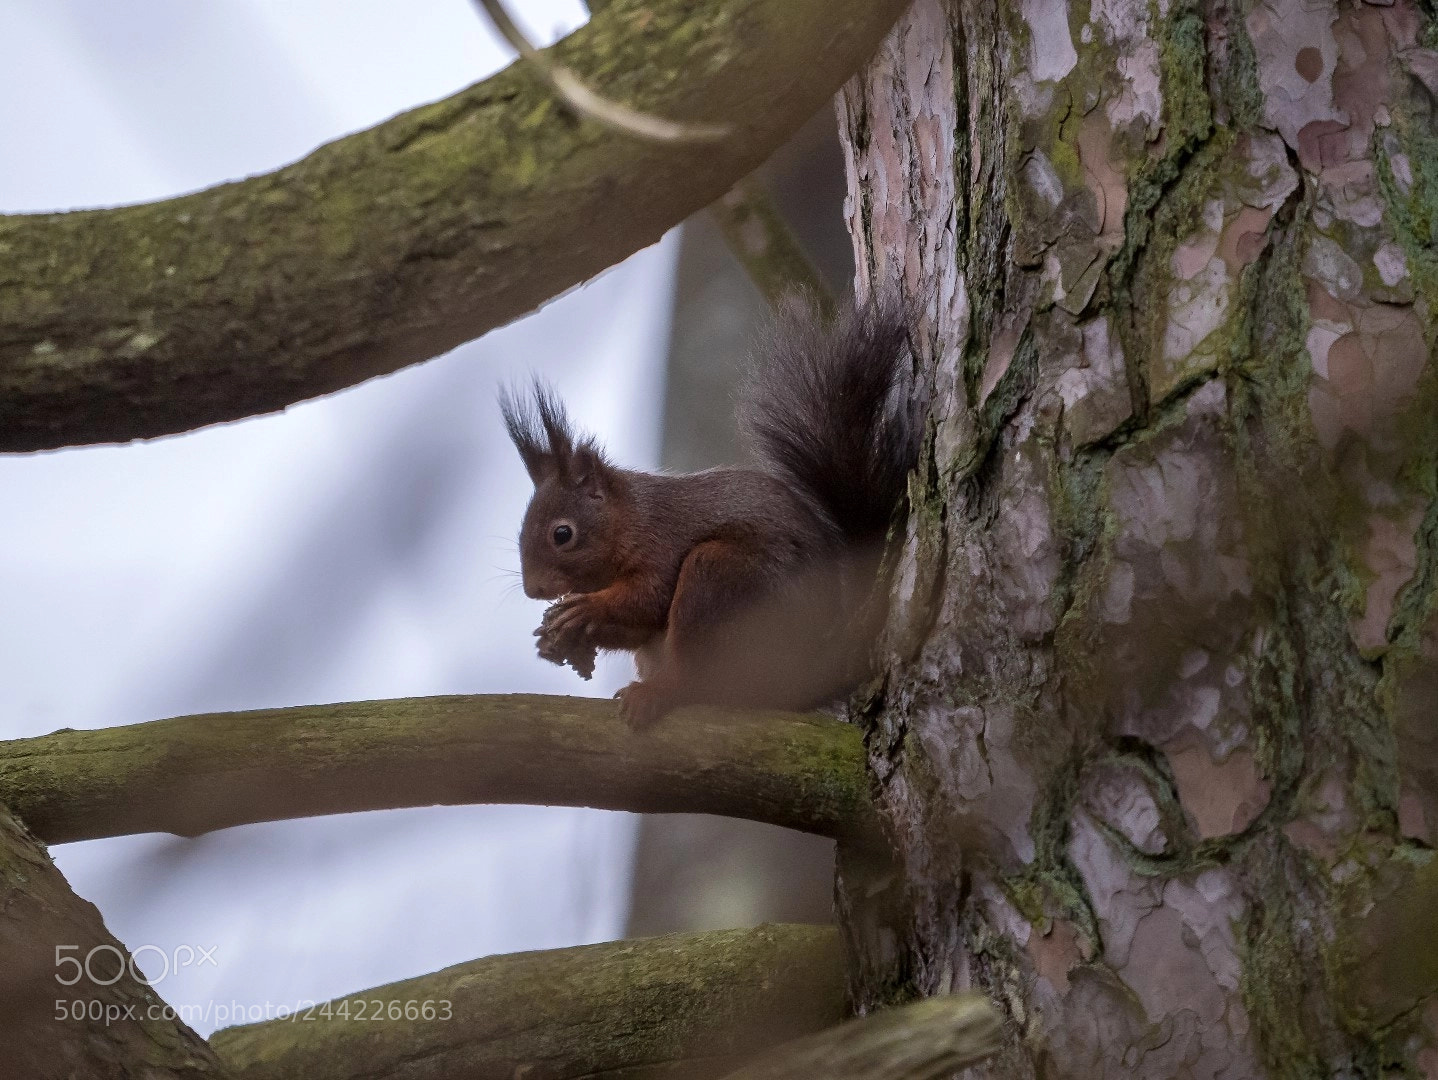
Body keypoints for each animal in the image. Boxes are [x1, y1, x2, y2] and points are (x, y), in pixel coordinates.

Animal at [500, 300, 922, 729]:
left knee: (694, 678)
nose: (533, 589)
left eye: (562, 534)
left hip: (724, 580)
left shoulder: (662, 543)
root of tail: (817, 668)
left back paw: (657, 692)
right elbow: (638, 627)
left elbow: (648, 599)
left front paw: (585, 608)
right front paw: (557, 636)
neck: (630, 519)